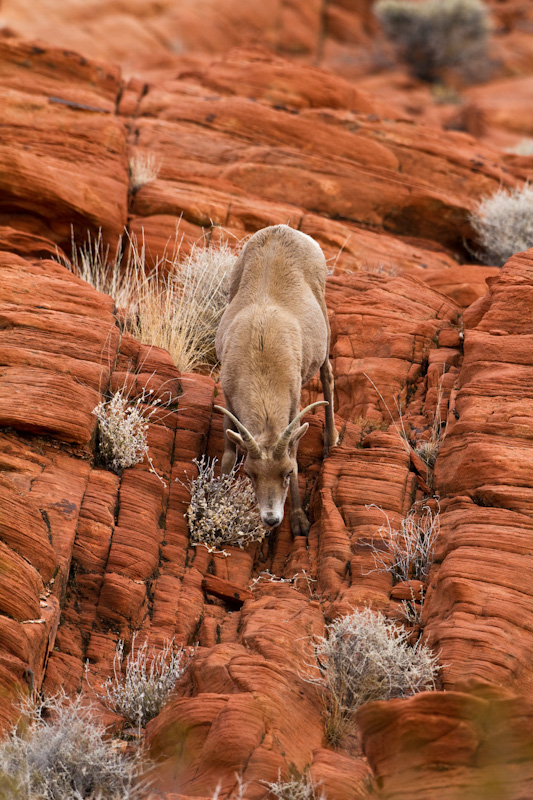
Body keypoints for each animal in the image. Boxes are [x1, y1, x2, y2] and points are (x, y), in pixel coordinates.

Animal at [213, 225, 334, 536]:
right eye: (250, 474)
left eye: (287, 472)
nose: (271, 519)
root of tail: (283, 229)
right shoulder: (228, 400)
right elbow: (228, 456)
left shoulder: (294, 406)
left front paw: (300, 523)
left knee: (327, 374)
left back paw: (332, 441)